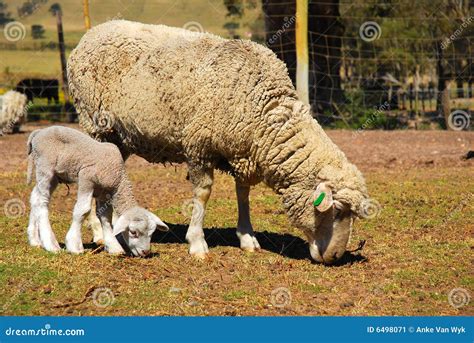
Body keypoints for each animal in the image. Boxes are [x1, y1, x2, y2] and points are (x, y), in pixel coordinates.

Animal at [26, 126, 169, 258]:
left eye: (152, 233)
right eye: (133, 232)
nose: (146, 252)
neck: (118, 176)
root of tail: (39, 132)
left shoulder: (103, 192)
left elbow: (106, 216)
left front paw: (113, 247)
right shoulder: (86, 178)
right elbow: (82, 211)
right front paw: (75, 246)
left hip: (55, 177)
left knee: (35, 197)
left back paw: (35, 240)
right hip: (45, 168)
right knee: (41, 201)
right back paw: (51, 245)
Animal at [67, 19, 370, 266]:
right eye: (337, 210)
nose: (335, 257)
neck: (263, 108)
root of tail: (91, 34)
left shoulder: (243, 152)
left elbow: (243, 193)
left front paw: (247, 238)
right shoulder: (198, 144)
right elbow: (203, 193)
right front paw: (197, 243)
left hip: (119, 139)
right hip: (95, 124)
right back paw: (103, 236)